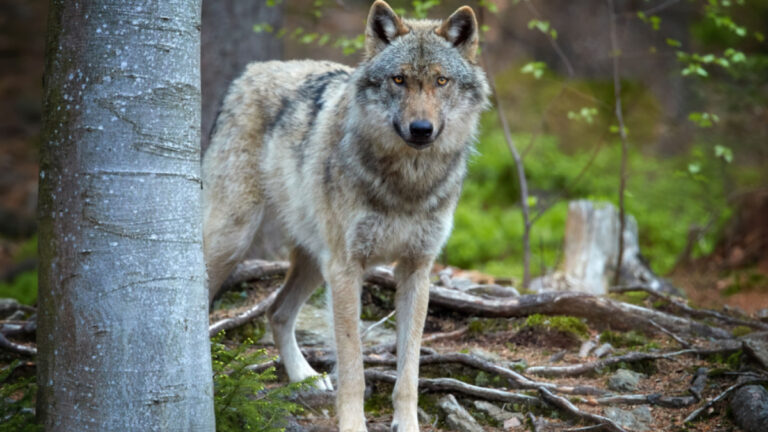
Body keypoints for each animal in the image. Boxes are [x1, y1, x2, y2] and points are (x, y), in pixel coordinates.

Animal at [202, 1, 489, 430]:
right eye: (399, 80)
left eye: (441, 81)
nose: (421, 129)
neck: (407, 184)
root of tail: (250, 71)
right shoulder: (347, 269)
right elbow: (353, 367)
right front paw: (353, 423)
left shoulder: (417, 270)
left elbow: (410, 370)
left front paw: (408, 423)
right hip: (234, 239)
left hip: (314, 260)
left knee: (276, 311)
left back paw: (303, 375)